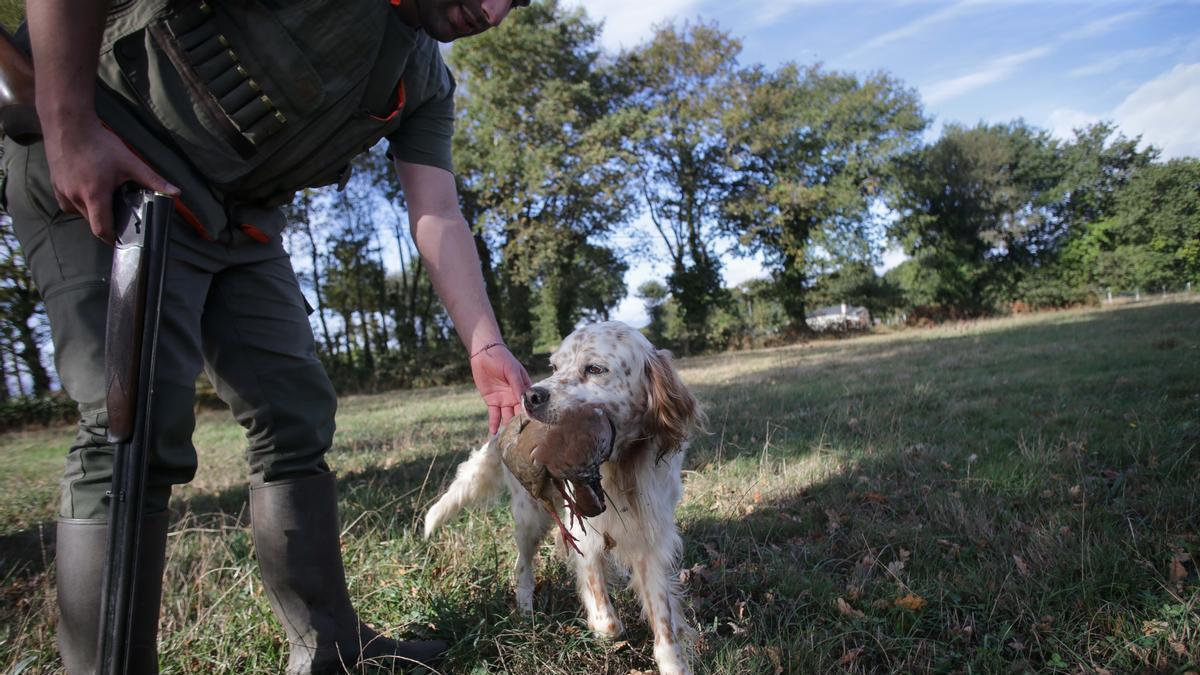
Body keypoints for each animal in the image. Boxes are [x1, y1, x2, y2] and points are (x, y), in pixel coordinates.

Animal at [424, 321, 700, 672]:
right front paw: (599, 622)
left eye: (594, 369)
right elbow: (606, 616)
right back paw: (526, 607)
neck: (620, 468)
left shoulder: (650, 542)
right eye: (554, 367)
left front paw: (673, 663)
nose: (530, 395)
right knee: (522, 564)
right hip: (530, 517)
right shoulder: (586, 534)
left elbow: (663, 617)